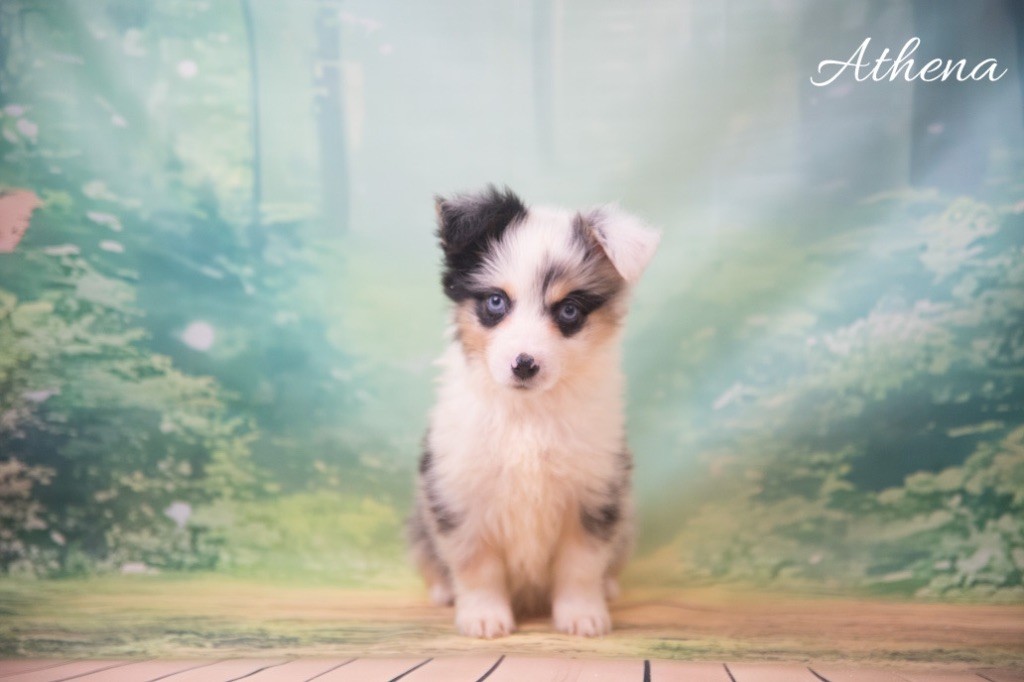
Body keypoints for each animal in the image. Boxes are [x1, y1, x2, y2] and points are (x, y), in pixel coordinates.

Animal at [407, 185, 659, 638]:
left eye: (569, 310)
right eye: (496, 301)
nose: (524, 365)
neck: (527, 413)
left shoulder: (594, 492)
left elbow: (581, 564)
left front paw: (582, 616)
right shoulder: (460, 490)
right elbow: (476, 565)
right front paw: (484, 617)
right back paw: (444, 591)